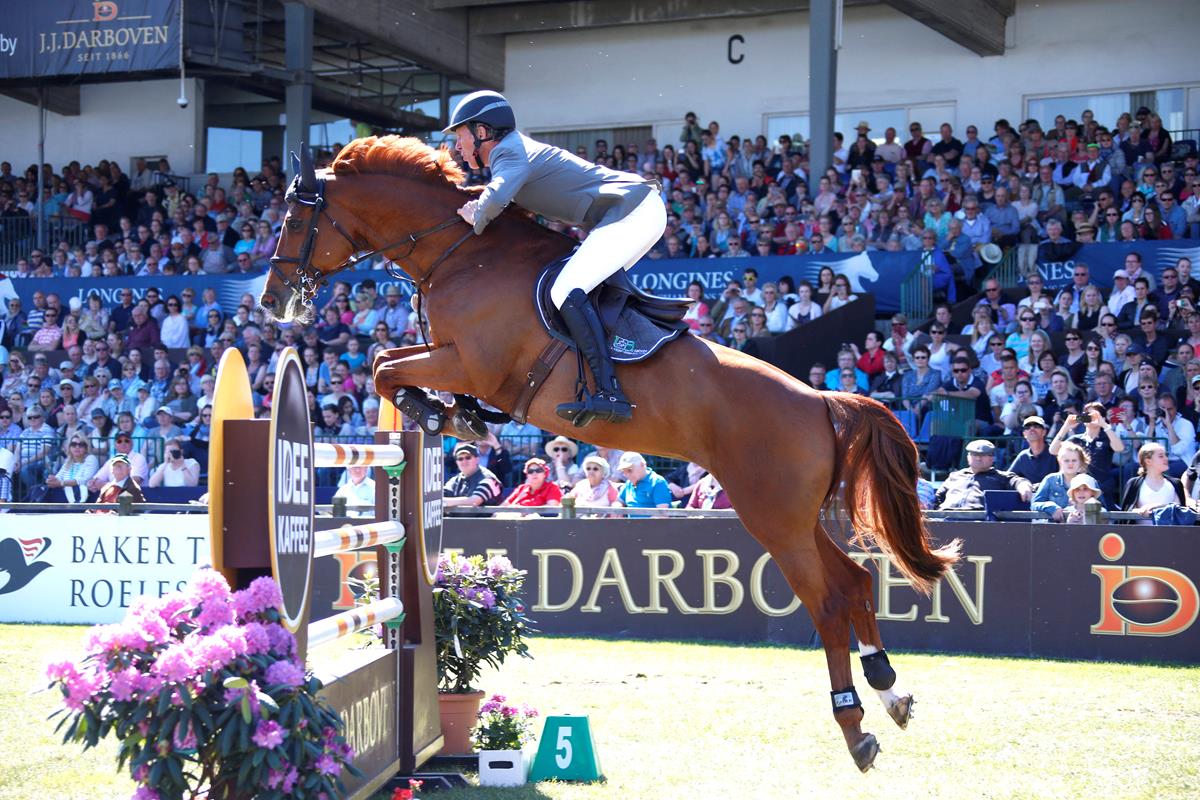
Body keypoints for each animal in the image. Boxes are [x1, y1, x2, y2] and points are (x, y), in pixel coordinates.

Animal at [260, 136, 955, 767]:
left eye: (293, 219)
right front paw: (449, 414)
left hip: (772, 518)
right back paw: (892, 693)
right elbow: (389, 361)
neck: (463, 252)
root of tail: (820, 402)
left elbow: (382, 366)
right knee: (856, 580)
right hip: (794, 517)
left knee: (829, 601)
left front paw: (437, 412)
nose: (272, 300)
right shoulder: (449, 357)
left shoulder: (469, 362)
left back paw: (855, 727)